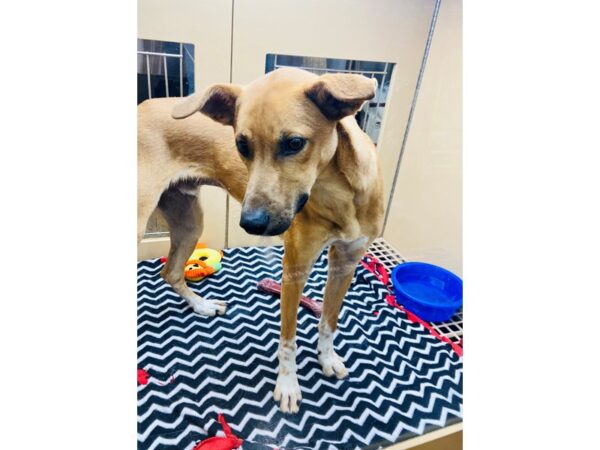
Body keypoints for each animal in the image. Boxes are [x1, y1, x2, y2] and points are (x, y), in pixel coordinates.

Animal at [138, 66, 382, 412]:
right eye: (241, 145)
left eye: (294, 143)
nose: (250, 223)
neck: (338, 193)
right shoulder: (294, 268)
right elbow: (288, 340)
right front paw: (288, 386)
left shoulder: (345, 263)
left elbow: (329, 320)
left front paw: (327, 358)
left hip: (189, 222)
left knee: (170, 272)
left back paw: (201, 306)